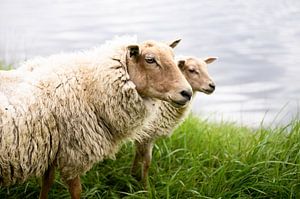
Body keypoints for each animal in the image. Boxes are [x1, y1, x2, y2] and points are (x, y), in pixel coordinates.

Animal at [0, 36, 192, 199]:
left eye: (173, 57)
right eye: (150, 59)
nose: (187, 93)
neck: (91, 83)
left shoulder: (52, 150)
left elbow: (47, 183)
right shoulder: (74, 153)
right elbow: (76, 191)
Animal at [130, 56, 217, 187]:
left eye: (206, 68)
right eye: (191, 70)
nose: (212, 86)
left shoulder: (142, 136)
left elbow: (137, 156)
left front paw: (132, 176)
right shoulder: (147, 135)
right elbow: (146, 163)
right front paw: (145, 187)